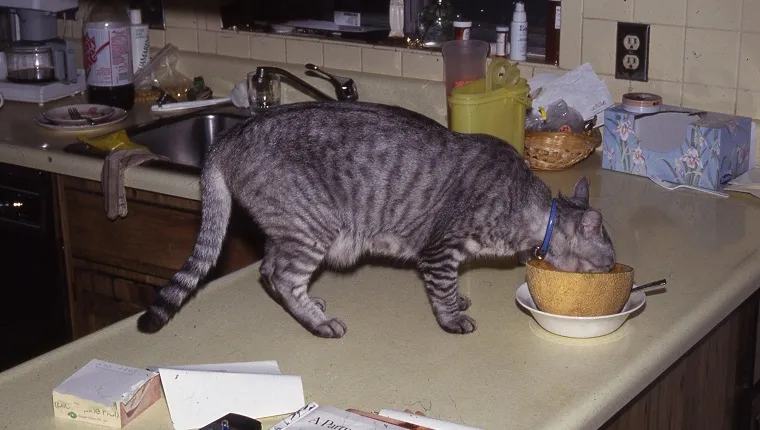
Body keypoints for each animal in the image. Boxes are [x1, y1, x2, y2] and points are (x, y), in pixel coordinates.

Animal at [138, 101, 616, 340]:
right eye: (610, 265)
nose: (616, 274)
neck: (530, 209)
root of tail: (228, 136)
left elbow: (452, 287)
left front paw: (459, 301)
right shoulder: (440, 250)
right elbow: (443, 290)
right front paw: (452, 318)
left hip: (289, 229)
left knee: (267, 271)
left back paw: (310, 307)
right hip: (312, 226)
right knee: (281, 275)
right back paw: (318, 323)